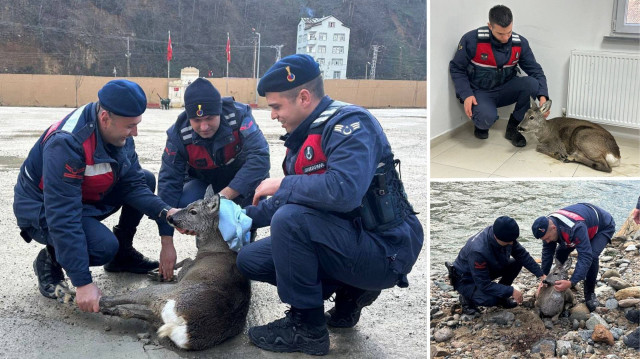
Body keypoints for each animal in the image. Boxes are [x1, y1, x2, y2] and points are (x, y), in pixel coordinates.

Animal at [99, 188, 250, 352]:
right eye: (189, 205)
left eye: (193, 211)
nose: (170, 217)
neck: (215, 249)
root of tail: (186, 327)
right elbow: (184, 262)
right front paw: (160, 273)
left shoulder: (190, 266)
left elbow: (185, 261)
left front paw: (160, 272)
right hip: (159, 316)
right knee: (133, 312)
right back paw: (111, 310)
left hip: (162, 294)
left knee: (126, 299)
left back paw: (98, 301)